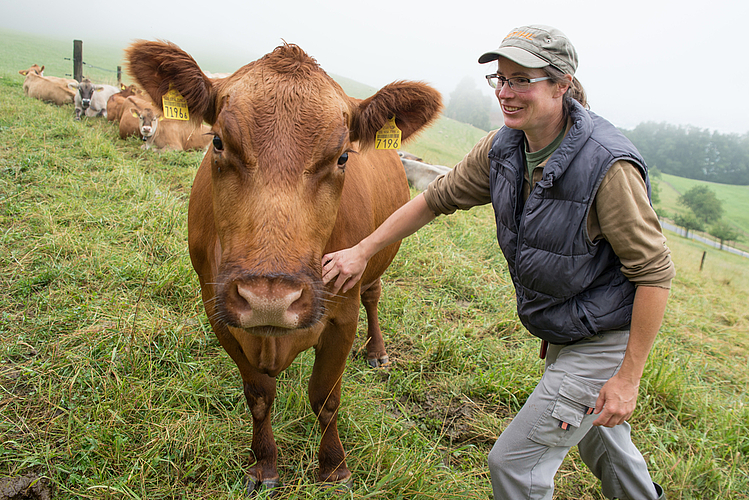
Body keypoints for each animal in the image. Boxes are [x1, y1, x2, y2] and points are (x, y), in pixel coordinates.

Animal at [125, 39, 442, 492]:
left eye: (343, 157)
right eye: (217, 142)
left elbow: (326, 398)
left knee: (374, 296)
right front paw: (264, 464)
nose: (269, 301)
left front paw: (334, 467)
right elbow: (259, 396)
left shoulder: (342, 316)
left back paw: (377, 352)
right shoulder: (219, 312)